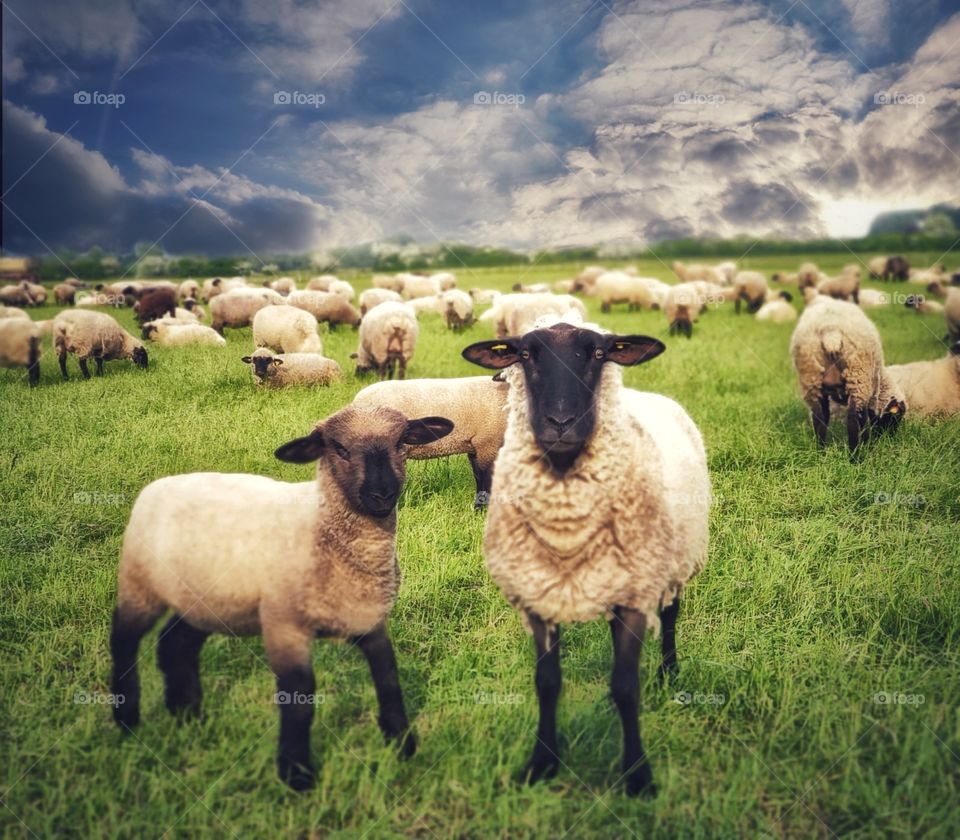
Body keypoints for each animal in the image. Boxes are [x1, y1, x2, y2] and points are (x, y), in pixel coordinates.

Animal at [109, 404, 454, 789]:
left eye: (401, 442)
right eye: (339, 448)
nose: (382, 494)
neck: (322, 528)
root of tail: (160, 483)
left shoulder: (368, 618)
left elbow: (389, 678)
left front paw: (402, 744)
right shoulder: (284, 624)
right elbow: (299, 696)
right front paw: (296, 773)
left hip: (206, 598)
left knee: (176, 642)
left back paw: (188, 715)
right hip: (139, 583)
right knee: (124, 638)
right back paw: (127, 716)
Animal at [462, 322, 709, 797]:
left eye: (598, 353)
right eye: (525, 354)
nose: (561, 423)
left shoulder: (634, 597)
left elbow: (627, 687)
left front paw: (638, 776)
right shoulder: (538, 595)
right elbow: (547, 683)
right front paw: (542, 763)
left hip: (675, 555)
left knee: (671, 613)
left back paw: (670, 672)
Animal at [789, 296, 904, 452]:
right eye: (895, 418)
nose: (891, 437)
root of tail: (830, 332)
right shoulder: (870, 391)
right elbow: (866, 419)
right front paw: (868, 443)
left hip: (811, 375)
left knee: (819, 418)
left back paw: (820, 451)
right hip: (858, 375)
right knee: (853, 421)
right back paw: (856, 455)